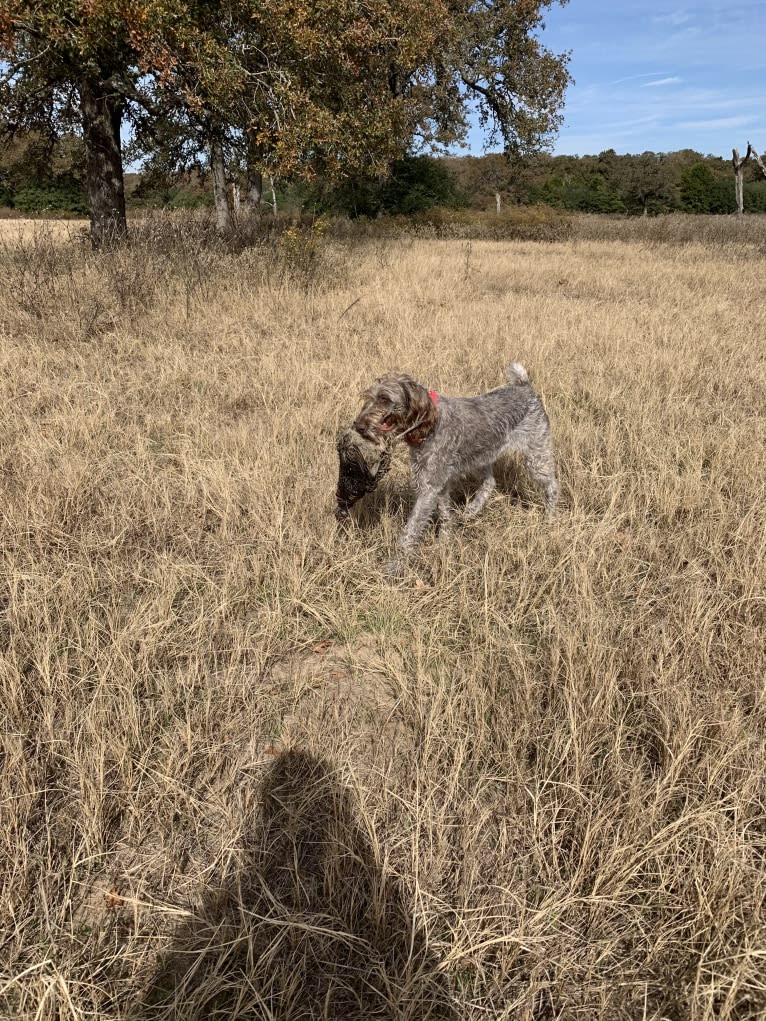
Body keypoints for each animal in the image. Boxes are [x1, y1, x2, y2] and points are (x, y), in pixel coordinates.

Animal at [353, 363, 559, 575]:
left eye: (385, 399)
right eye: (368, 398)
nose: (357, 426)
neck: (429, 423)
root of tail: (525, 387)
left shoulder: (429, 489)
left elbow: (410, 531)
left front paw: (395, 566)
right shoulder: (440, 485)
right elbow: (445, 516)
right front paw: (443, 544)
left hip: (536, 458)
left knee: (551, 487)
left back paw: (550, 520)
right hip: (479, 458)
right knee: (490, 482)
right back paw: (472, 511)